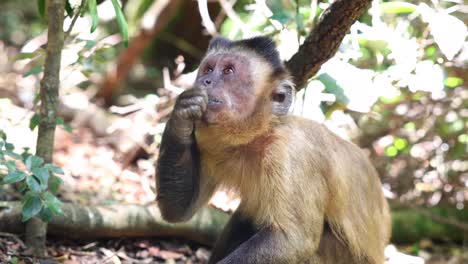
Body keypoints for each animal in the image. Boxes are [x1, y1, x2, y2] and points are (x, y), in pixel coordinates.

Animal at [156, 37, 392, 264]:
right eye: (208, 69)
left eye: (228, 71)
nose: (205, 80)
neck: (257, 137)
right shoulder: (209, 141)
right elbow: (180, 210)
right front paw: (182, 113)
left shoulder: (292, 152)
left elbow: (292, 241)